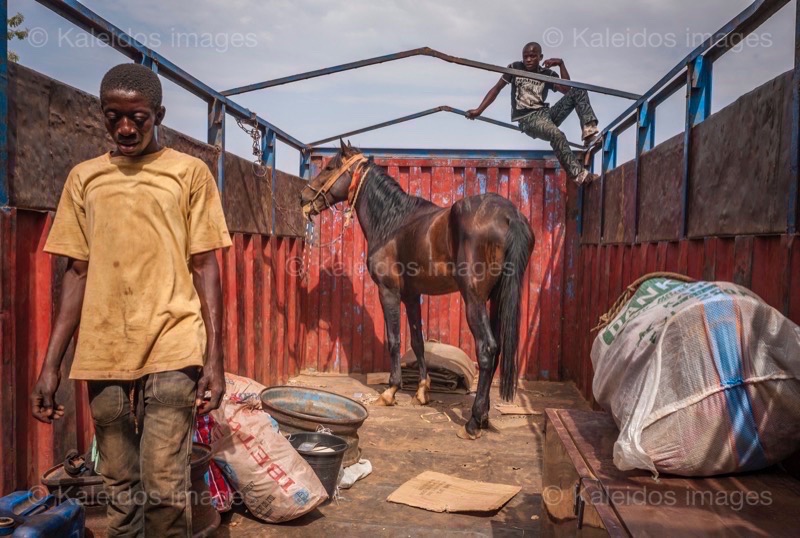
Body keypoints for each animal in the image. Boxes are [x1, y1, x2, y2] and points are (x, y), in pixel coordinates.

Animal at [304, 140, 536, 438]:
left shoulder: (388, 291)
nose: (304, 198)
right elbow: (417, 341)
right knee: (496, 353)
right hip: (497, 298)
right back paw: (483, 417)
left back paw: (473, 422)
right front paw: (422, 391)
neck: (392, 223)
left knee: (486, 349)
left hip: (473, 299)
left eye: (330, 167)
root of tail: (510, 215)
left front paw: (390, 391)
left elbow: (394, 339)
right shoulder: (413, 295)